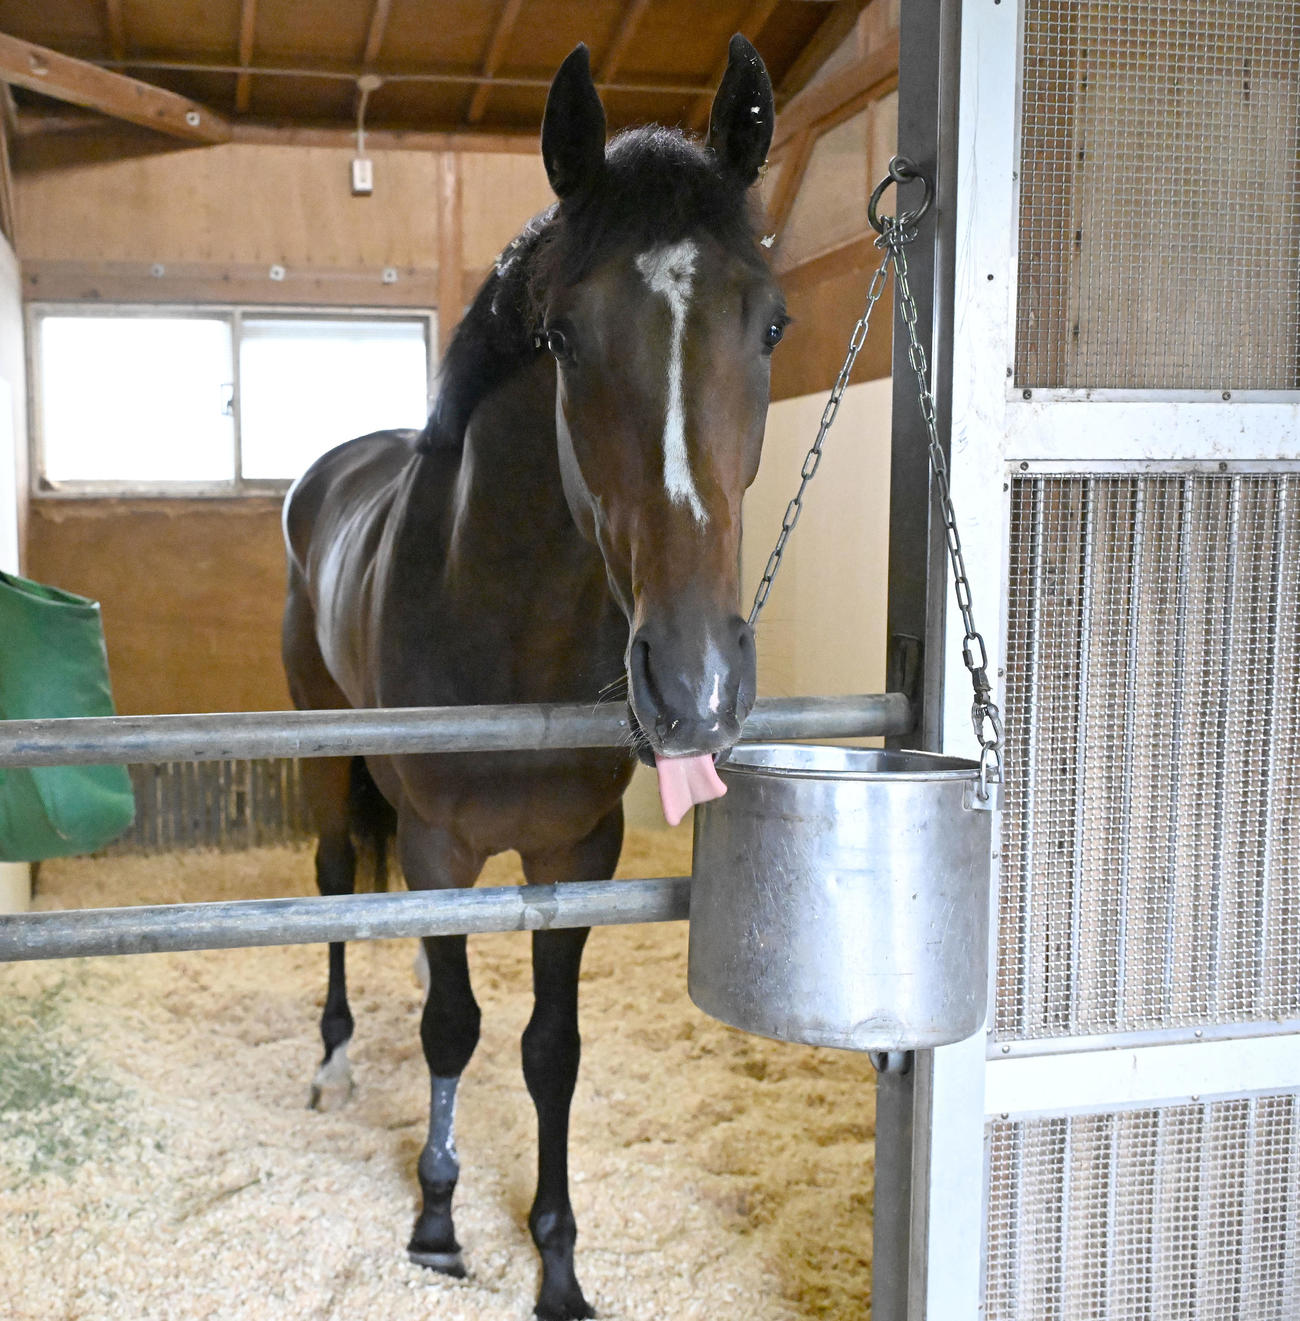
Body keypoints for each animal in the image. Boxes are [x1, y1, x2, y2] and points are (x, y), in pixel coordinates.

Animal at [280, 35, 783, 1321]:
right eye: (562, 339)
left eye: (769, 326)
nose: (696, 682)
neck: (506, 620)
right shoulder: (436, 848)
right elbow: (452, 1025)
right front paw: (436, 1218)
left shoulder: (575, 854)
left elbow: (549, 1048)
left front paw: (556, 1256)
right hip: (324, 746)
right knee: (334, 880)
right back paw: (335, 1060)